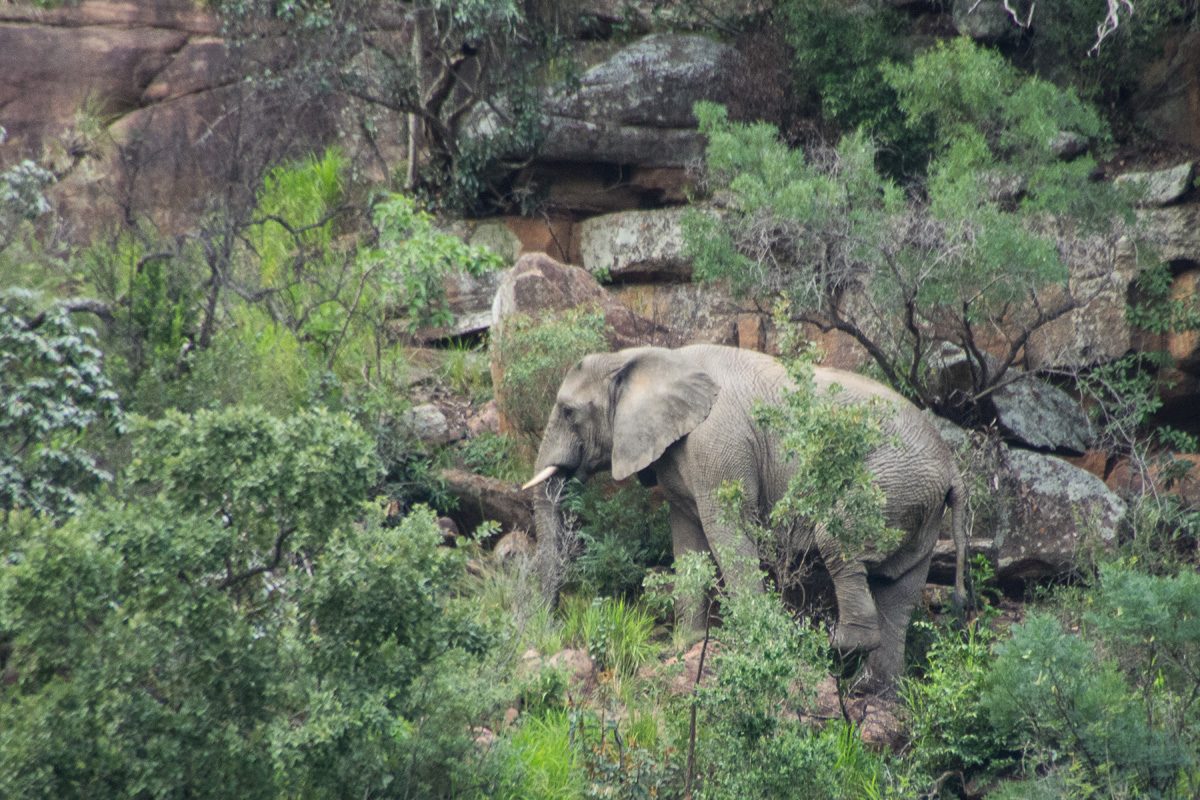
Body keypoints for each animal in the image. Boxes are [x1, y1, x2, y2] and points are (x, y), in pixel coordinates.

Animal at [523, 340, 964, 690]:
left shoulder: (718, 443)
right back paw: (872, 689)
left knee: (837, 543)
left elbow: (726, 534)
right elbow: (688, 544)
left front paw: (757, 639)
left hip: (887, 483)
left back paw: (838, 645)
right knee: (900, 588)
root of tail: (952, 468)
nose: (550, 631)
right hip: (919, 504)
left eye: (568, 411)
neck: (648, 358)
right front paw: (687, 644)